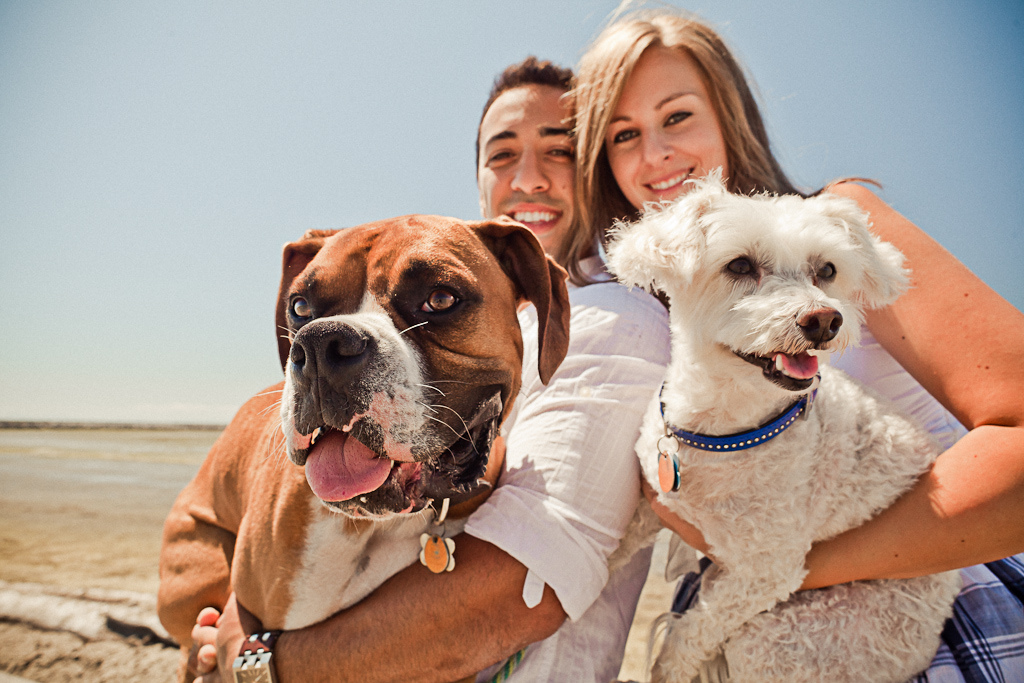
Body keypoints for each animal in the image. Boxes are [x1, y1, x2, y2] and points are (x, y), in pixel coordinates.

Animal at [610, 176, 962, 683]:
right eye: (739, 265)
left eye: (827, 270)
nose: (824, 319)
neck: (725, 431)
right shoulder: (651, 504)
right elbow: (608, 557)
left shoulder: (766, 573)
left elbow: (687, 639)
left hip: (782, 641)